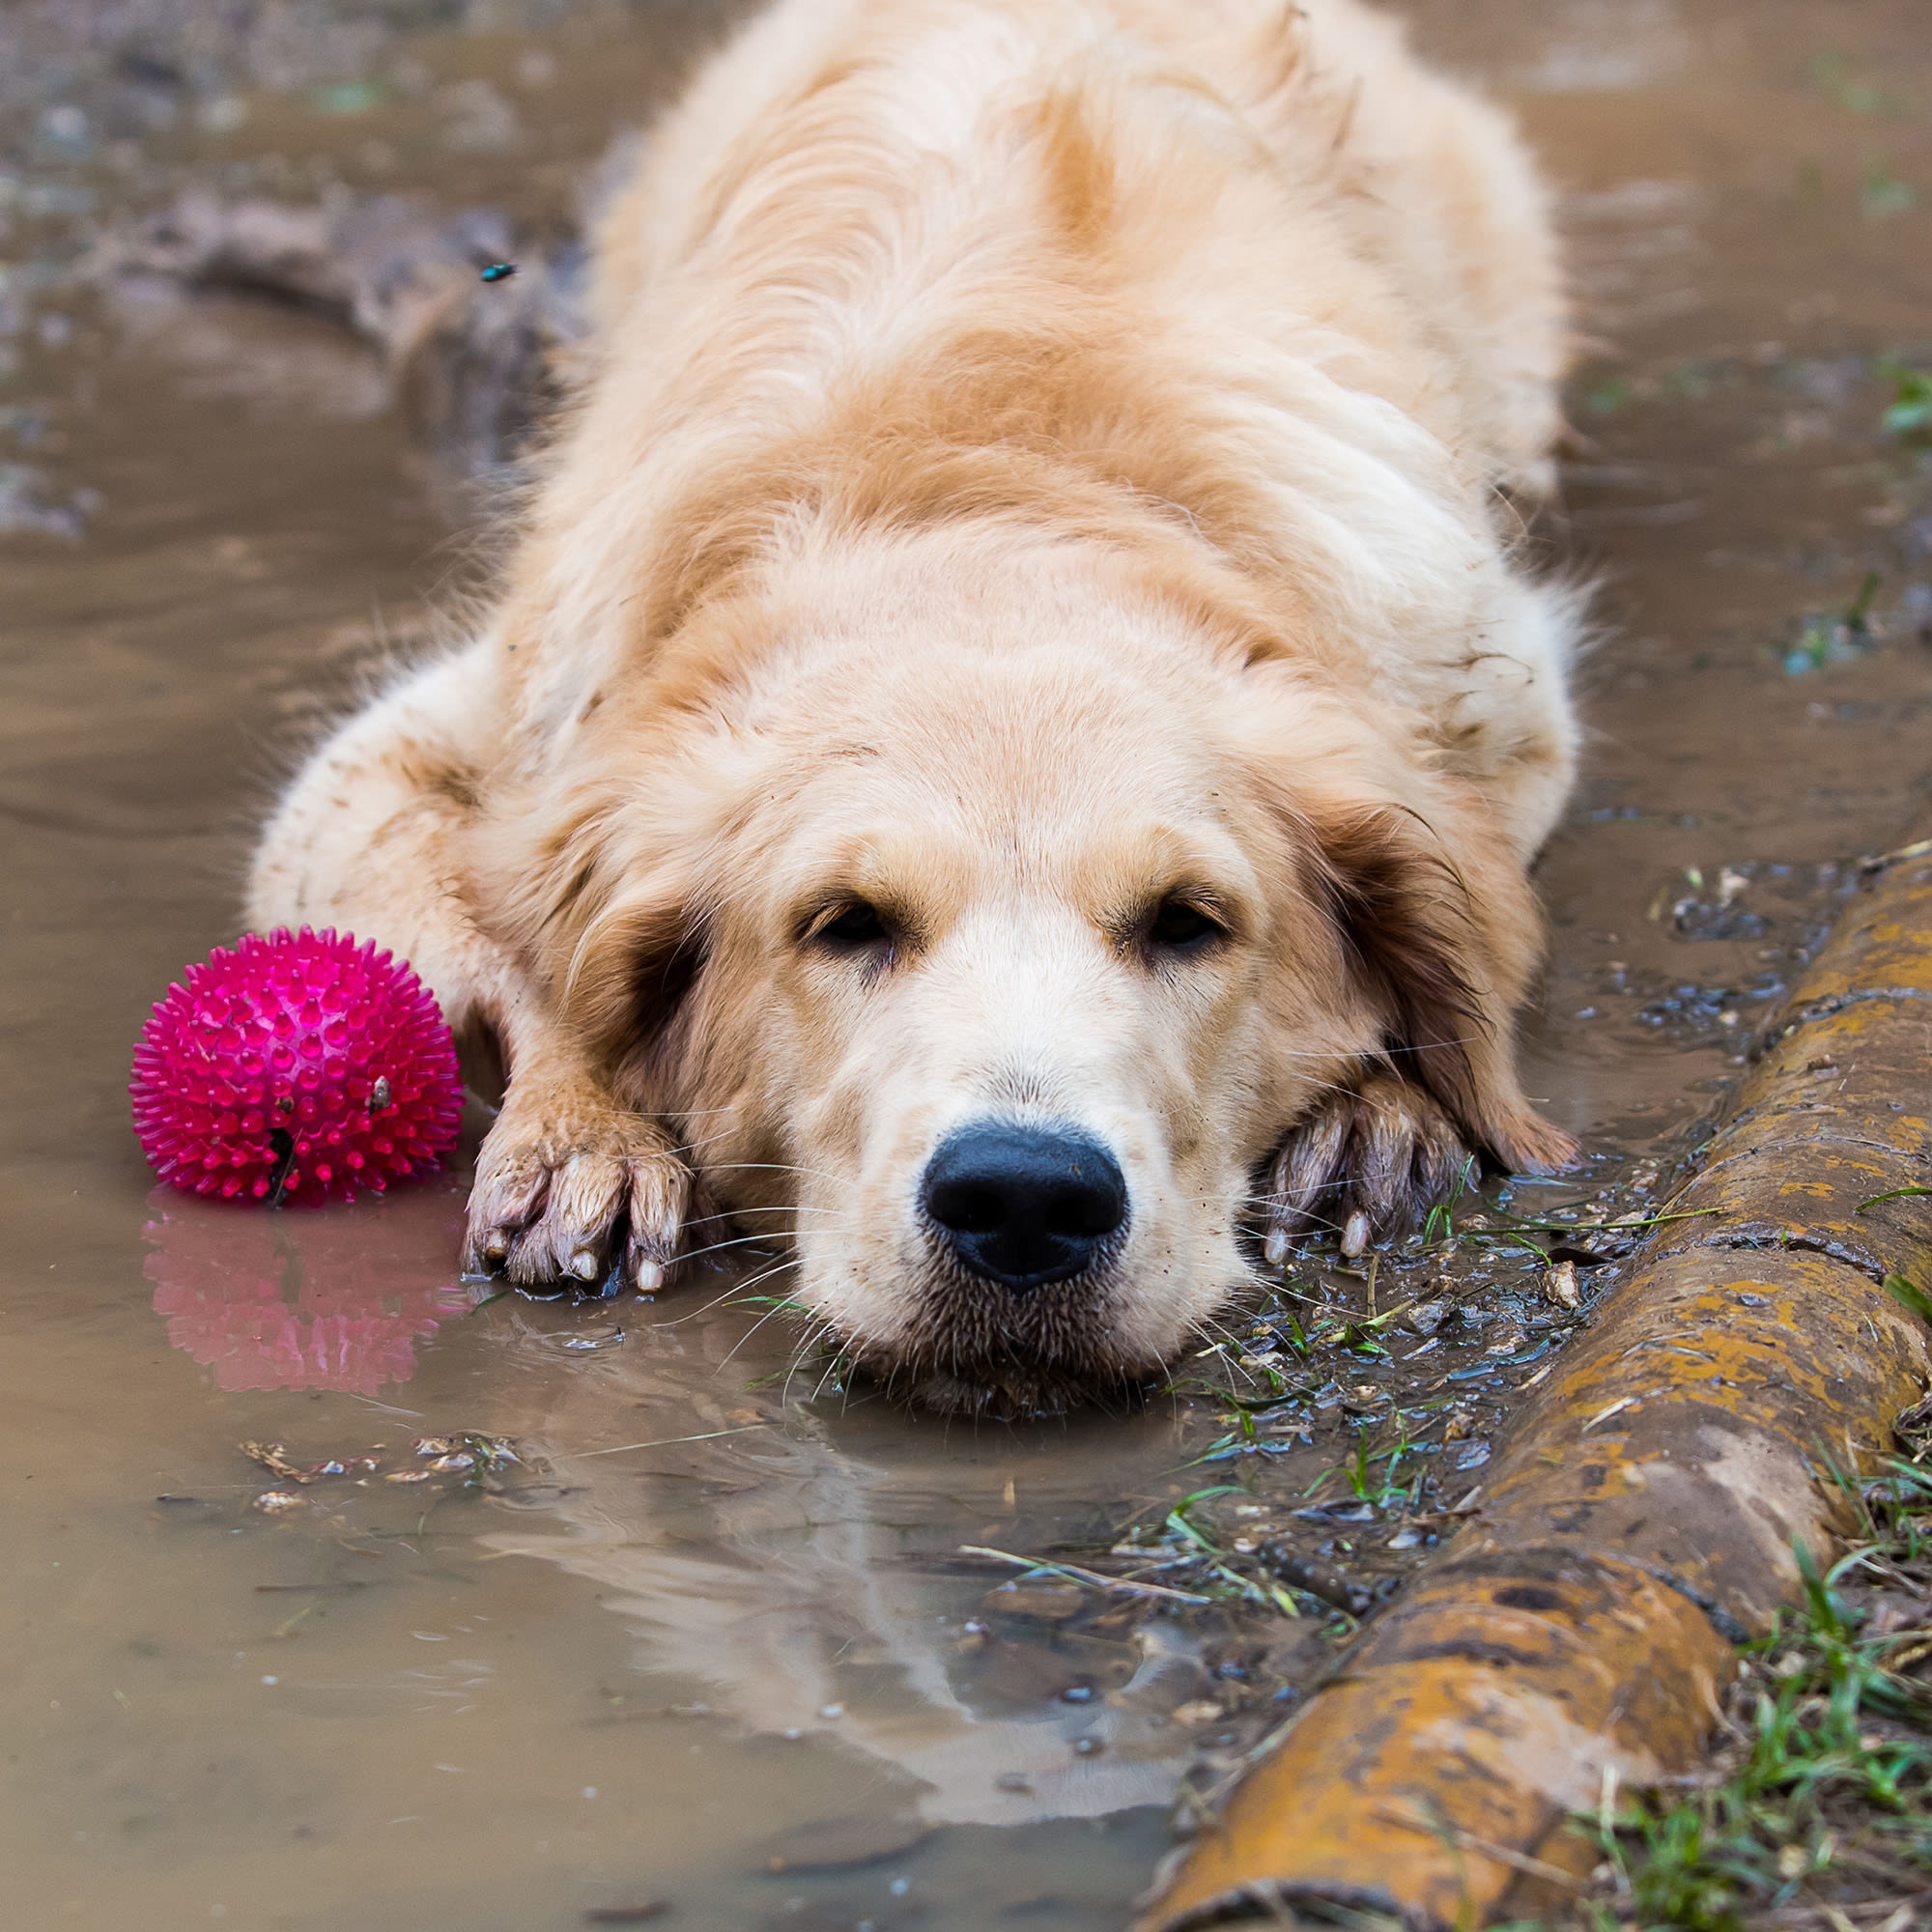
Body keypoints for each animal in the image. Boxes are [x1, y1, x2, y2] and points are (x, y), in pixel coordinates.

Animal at [249, 0, 1577, 1422]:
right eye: (844, 925)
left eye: (1190, 922)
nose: (1026, 1202)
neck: (993, 504)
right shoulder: (422, 752)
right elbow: (520, 943)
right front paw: (583, 1126)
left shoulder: (1502, 706)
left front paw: (1380, 1105)